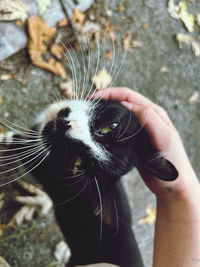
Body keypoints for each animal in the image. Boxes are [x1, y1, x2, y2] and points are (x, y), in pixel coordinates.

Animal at [6, 97, 177, 267]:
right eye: (110, 127)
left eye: (77, 164)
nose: (64, 127)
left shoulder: (50, 176)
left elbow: (28, 155)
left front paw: (10, 139)